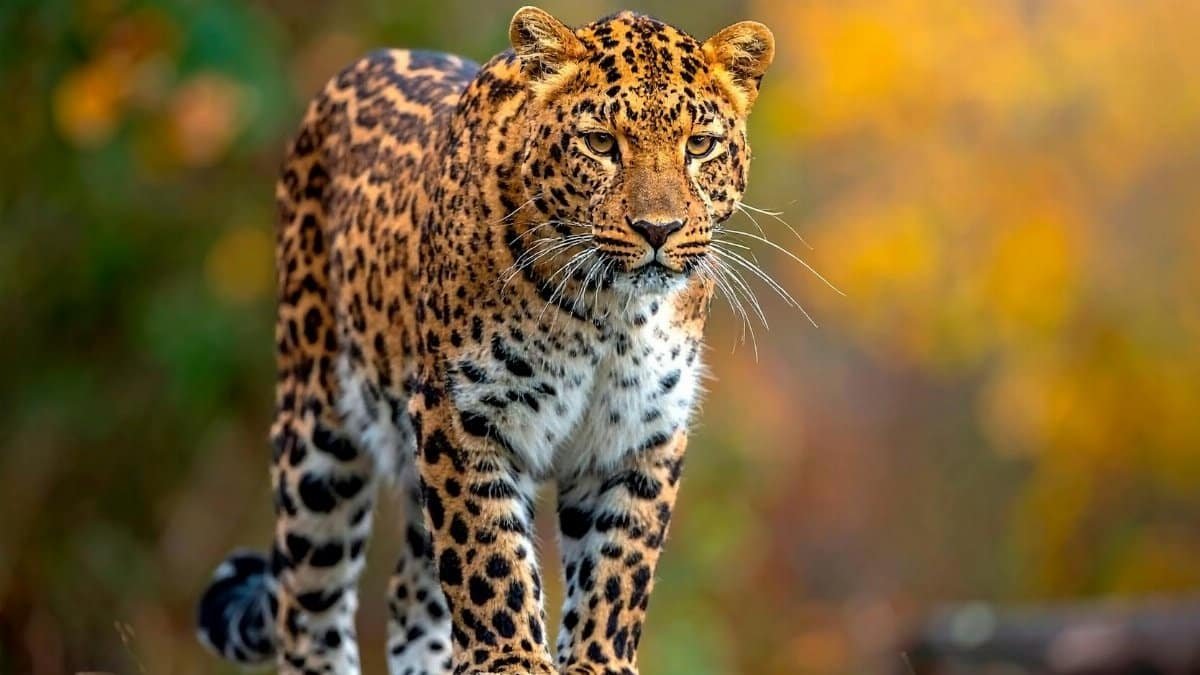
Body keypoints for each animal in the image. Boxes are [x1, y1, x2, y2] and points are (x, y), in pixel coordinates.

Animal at [197, 6, 774, 674]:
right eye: (601, 143)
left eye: (700, 146)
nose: (658, 230)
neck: (612, 312)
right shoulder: (462, 415)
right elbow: (488, 558)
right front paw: (513, 658)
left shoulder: (639, 432)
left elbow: (619, 566)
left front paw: (598, 660)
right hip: (318, 431)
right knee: (307, 609)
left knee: (409, 595)